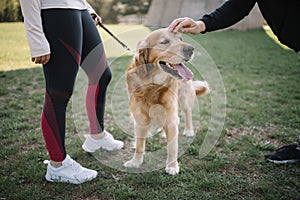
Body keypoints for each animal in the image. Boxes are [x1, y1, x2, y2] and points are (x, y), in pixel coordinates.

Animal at [124, 28, 209, 175]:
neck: (152, 85)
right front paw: (135, 162)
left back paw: (189, 130)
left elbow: (172, 147)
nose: (191, 49)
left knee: (188, 114)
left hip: (184, 99)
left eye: (180, 39)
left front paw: (172, 166)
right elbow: (140, 144)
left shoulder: (171, 118)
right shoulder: (140, 119)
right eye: (164, 42)